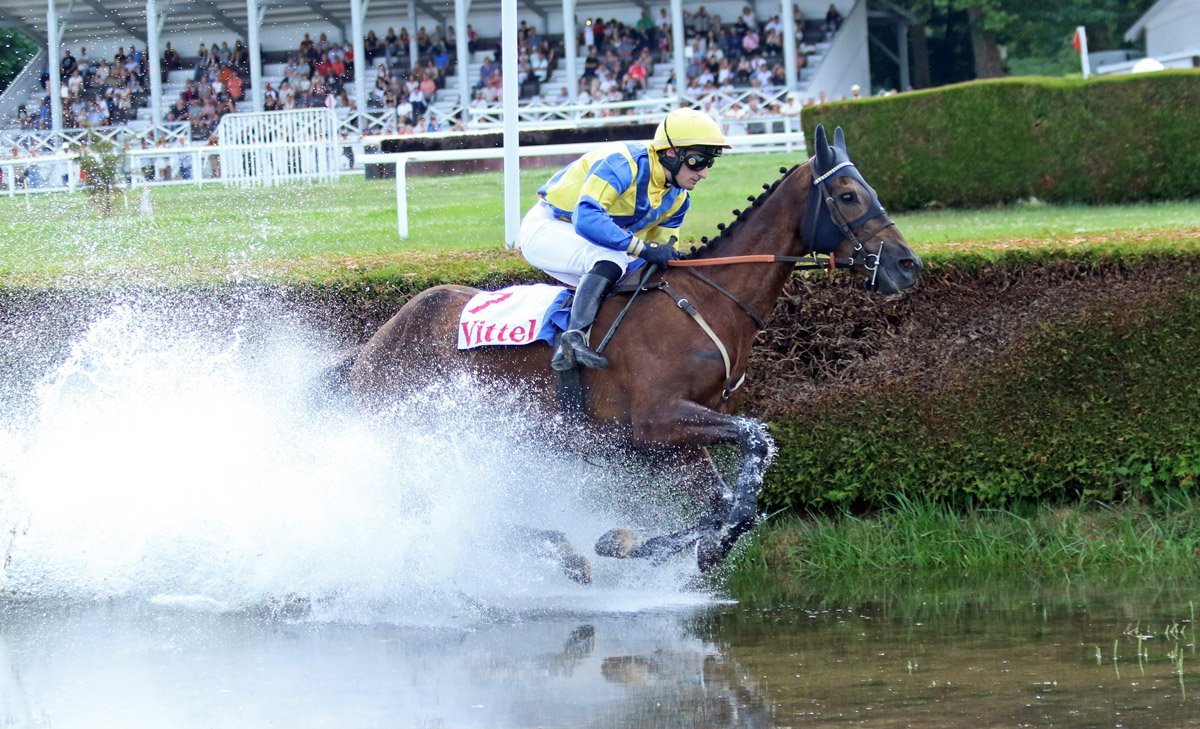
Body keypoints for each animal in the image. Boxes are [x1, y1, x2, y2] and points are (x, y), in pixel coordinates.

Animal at [343, 124, 923, 575]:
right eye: (847, 195)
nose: (907, 265)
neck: (709, 299)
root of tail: (373, 346)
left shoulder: (668, 443)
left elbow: (727, 503)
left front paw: (670, 544)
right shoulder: (656, 418)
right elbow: (756, 443)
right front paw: (651, 543)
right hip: (421, 433)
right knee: (429, 505)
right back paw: (560, 551)